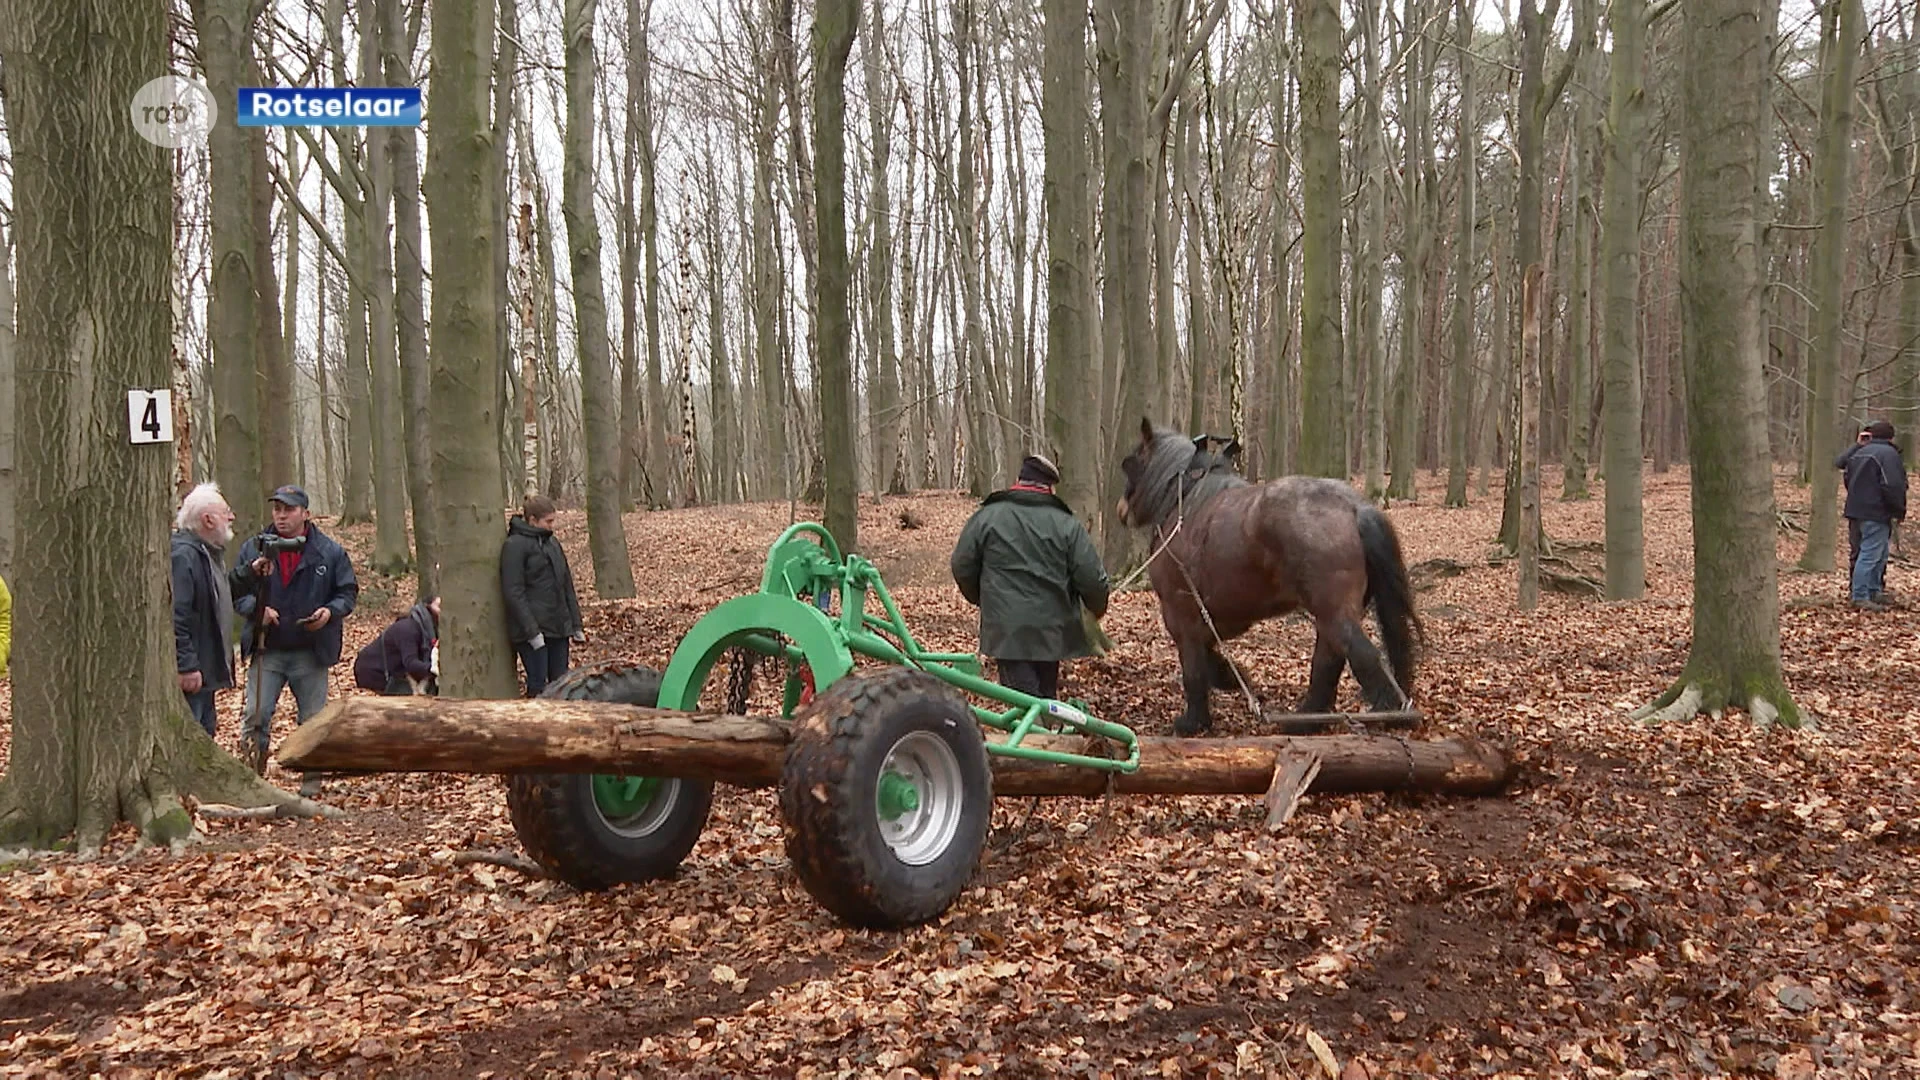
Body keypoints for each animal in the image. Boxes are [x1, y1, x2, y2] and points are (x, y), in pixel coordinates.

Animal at [1121, 417, 1420, 734]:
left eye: (1129, 464)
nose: (1121, 510)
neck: (1185, 503)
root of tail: (1354, 508)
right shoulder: (1219, 615)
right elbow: (1210, 651)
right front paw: (1232, 677)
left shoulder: (1180, 613)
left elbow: (1194, 669)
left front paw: (1194, 721)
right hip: (1330, 616)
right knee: (1328, 661)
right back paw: (1308, 717)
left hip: (1334, 613)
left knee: (1361, 656)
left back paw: (1386, 712)